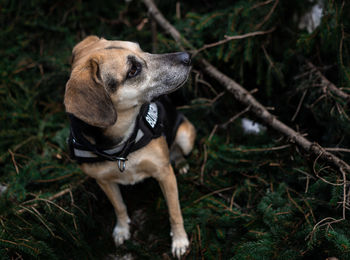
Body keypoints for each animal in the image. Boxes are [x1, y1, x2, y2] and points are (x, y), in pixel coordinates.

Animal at [63, 36, 194, 258]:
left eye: (141, 49)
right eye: (133, 70)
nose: (187, 56)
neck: (120, 146)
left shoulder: (164, 173)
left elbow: (174, 211)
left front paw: (179, 240)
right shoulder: (103, 181)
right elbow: (119, 206)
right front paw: (122, 229)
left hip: (186, 136)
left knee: (178, 150)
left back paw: (181, 162)